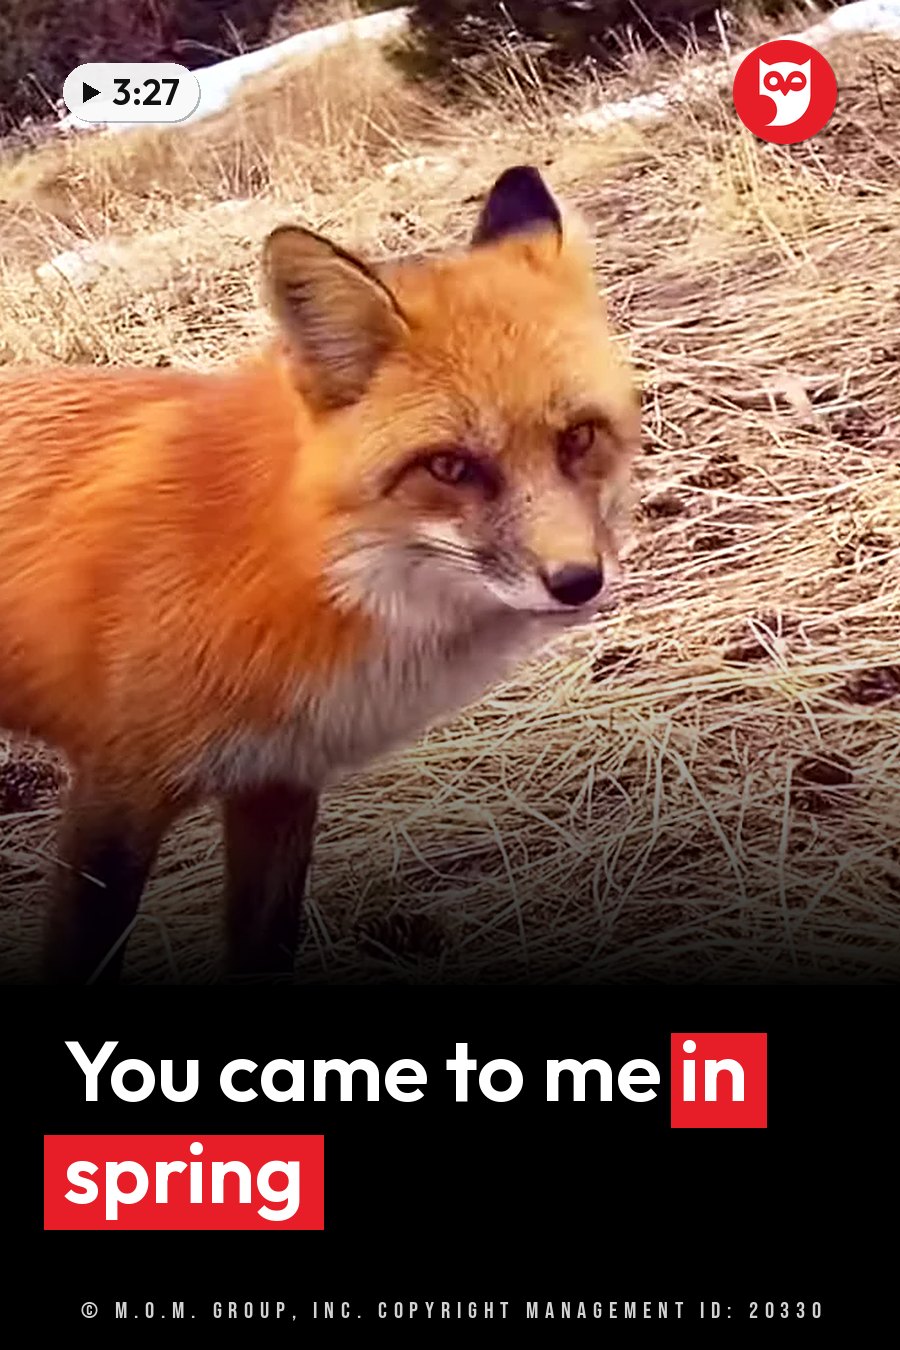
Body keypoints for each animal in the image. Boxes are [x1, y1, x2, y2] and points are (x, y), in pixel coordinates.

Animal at [0, 165, 640, 985]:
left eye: (579, 437)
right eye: (448, 467)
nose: (577, 581)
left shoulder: (276, 783)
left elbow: (266, 947)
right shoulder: (116, 791)